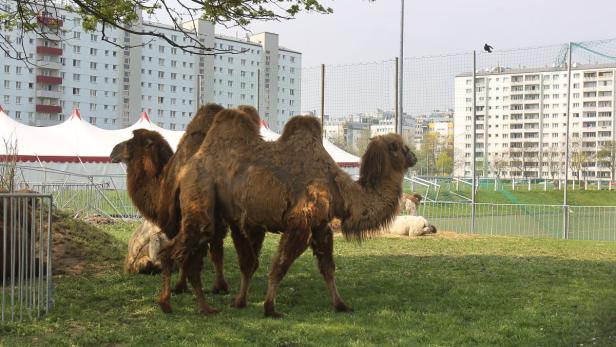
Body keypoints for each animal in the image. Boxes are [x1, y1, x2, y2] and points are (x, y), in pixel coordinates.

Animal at [158, 109, 418, 318]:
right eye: (401, 147)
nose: (414, 157)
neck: (341, 191)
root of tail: (187, 167)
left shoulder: (321, 227)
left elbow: (328, 268)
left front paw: (341, 305)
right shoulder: (300, 224)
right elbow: (280, 266)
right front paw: (270, 308)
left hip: (211, 212)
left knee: (193, 258)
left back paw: (206, 308)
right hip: (200, 197)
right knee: (172, 251)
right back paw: (167, 304)